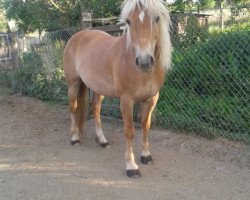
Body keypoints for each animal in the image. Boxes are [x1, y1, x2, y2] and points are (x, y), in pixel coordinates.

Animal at [62, 0, 172, 178]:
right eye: (128, 21)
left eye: (156, 18)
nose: (144, 61)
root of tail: (77, 36)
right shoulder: (126, 100)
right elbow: (129, 131)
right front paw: (131, 166)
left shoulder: (151, 99)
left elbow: (146, 125)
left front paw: (146, 155)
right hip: (73, 83)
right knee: (73, 108)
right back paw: (75, 137)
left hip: (98, 88)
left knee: (96, 109)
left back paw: (102, 140)